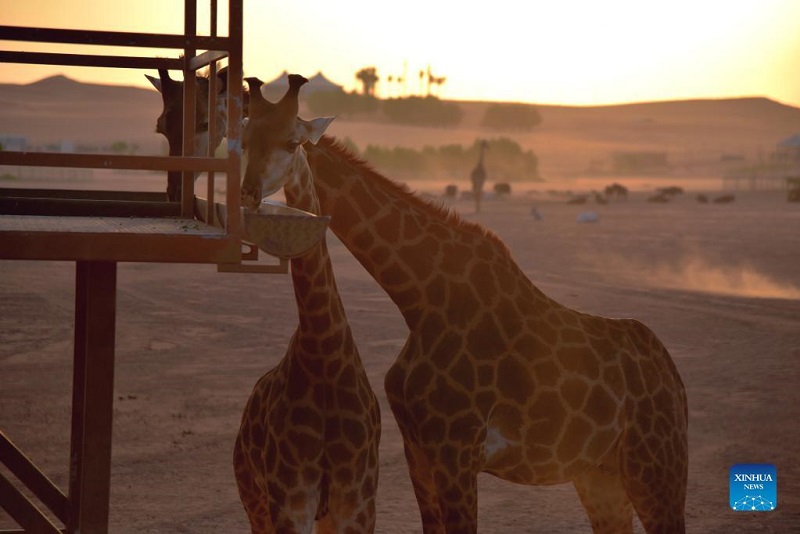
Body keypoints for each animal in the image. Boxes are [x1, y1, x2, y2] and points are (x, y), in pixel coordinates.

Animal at [234, 75, 382, 534]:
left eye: (292, 142)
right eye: (244, 139)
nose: (248, 194)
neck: (325, 358)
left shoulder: (358, 504)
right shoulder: (290, 503)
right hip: (254, 501)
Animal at [241, 110, 692, 534]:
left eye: (289, 142)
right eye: (242, 135)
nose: (245, 194)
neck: (418, 298)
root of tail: (674, 377)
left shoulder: (456, 450)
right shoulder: (419, 450)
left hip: (656, 465)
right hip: (599, 472)